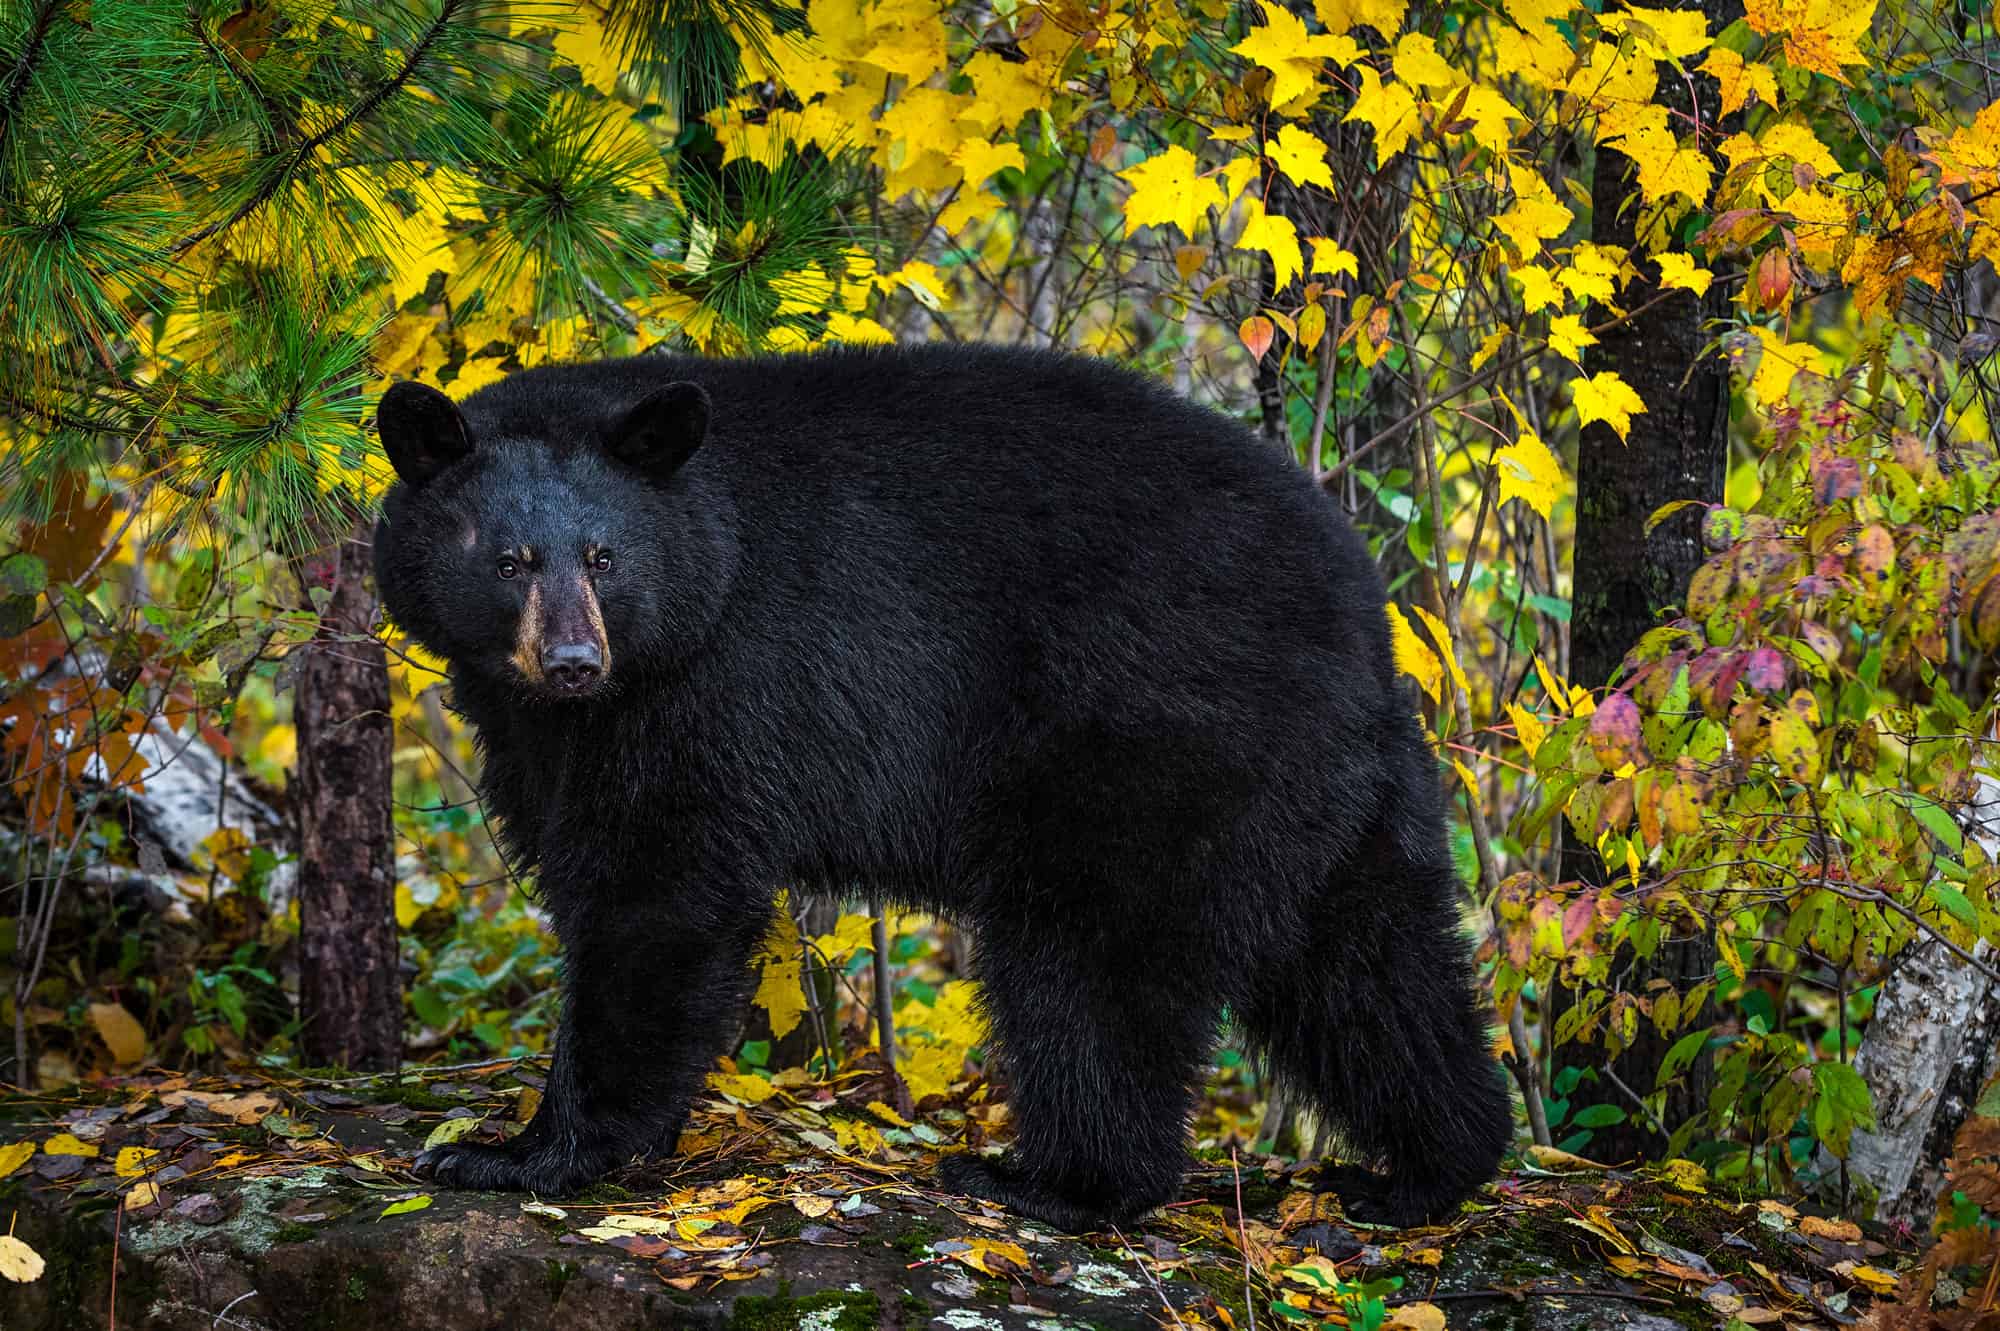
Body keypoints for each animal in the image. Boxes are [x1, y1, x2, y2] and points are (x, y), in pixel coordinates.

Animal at [376, 339, 1504, 1223]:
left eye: (605, 556)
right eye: (510, 559)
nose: (573, 660)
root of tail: (1363, 609)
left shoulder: (715, 685)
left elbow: (656, 895)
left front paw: (519, 1151)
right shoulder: (545, 725)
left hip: (1149, 740)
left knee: (1088, 966)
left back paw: (1062, 1182)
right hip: (1333, 787)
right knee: (1370, 961)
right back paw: (1426, 1171)